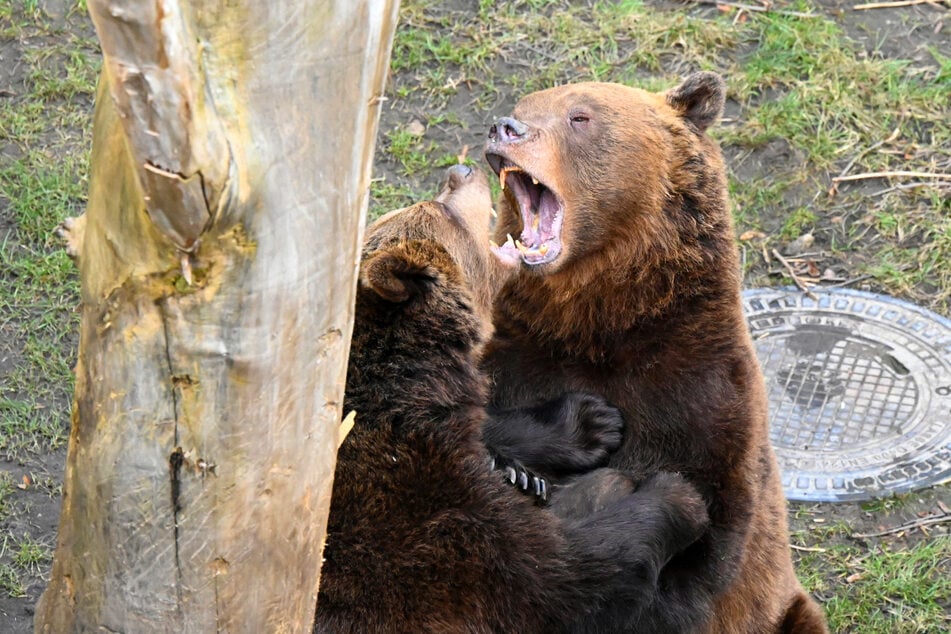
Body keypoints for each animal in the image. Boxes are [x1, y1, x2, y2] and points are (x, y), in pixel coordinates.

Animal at [313, 163, 711, 633]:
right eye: (442, 212)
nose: (460, 170)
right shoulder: (426, 527)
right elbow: (564, 575)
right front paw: (678, 496)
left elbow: (490, 427)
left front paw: (585, 426)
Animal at [481, 72, 829, 633]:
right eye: (525, 105)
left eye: (580, 116)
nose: (504, 127)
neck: (601, 322)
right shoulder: (514, 357)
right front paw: (558, 446)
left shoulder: (702, 396)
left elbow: (696, 562)